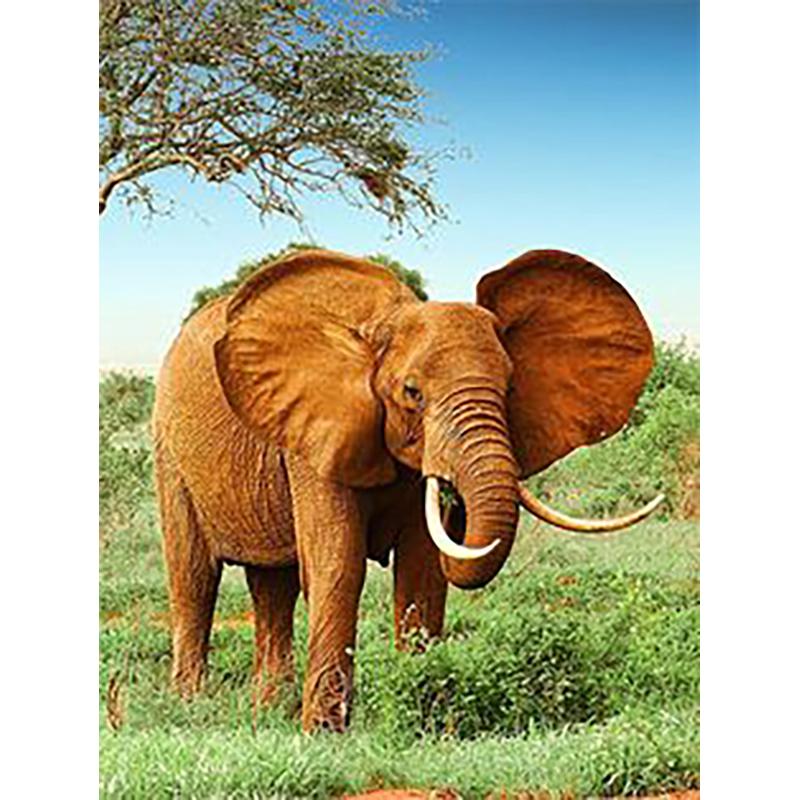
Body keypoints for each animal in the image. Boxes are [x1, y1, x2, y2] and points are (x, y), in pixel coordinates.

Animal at [152, 248, 662, 732]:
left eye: (510, 388)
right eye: (412, 393)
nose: (458, 506)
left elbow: (422, 569)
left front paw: (425, 720)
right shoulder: (315, 433)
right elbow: (338, 566)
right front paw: (322, 734)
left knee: (272, 586)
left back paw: (267, 712)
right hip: (169, 450)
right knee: (194, 579)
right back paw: (188, 706)